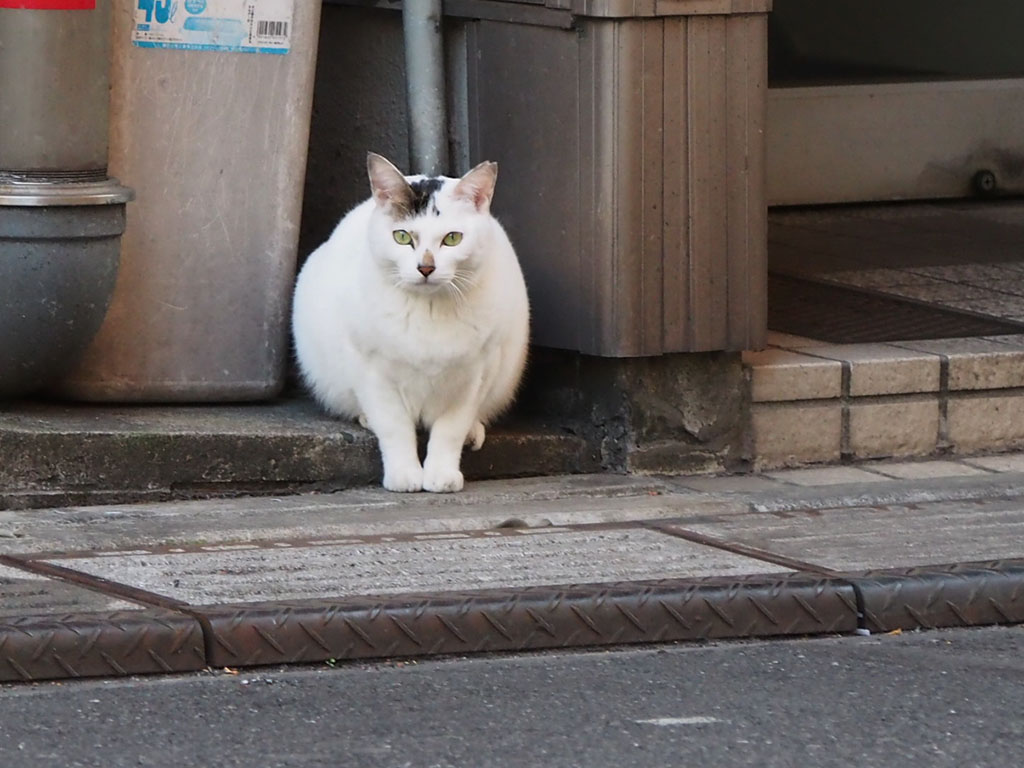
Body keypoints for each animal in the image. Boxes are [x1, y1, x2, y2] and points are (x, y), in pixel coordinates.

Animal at [288, 153, 528, 495]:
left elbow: (450, 430)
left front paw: (441, 475)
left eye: (452, 238)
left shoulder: (476, 374)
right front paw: (404, 475)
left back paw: (473, 432)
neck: (428, 311)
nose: (425, 267)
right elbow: (394, 427)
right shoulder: (371, 371)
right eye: (401, 237)